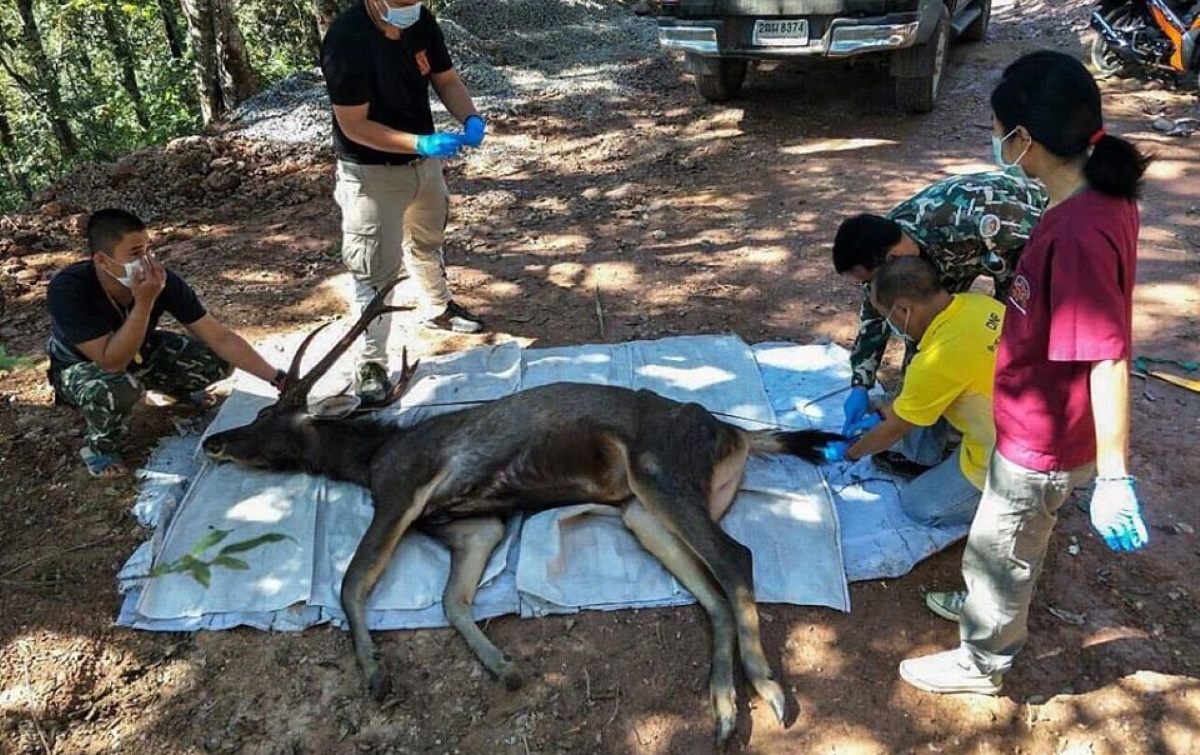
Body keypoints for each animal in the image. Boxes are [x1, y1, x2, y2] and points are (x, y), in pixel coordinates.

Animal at [201, 279, 845, 746]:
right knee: (710, 592)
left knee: (737, 557)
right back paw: (724, 710)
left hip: (660, 470)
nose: (215, 442)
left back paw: (769, 690)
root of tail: (738, 435)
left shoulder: (404, 488)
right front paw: (504, 668)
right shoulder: (474, 524)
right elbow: (451, 599)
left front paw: (376, 672)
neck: (369, 457)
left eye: (266, 418)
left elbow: (352, 581)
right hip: (642, 512)